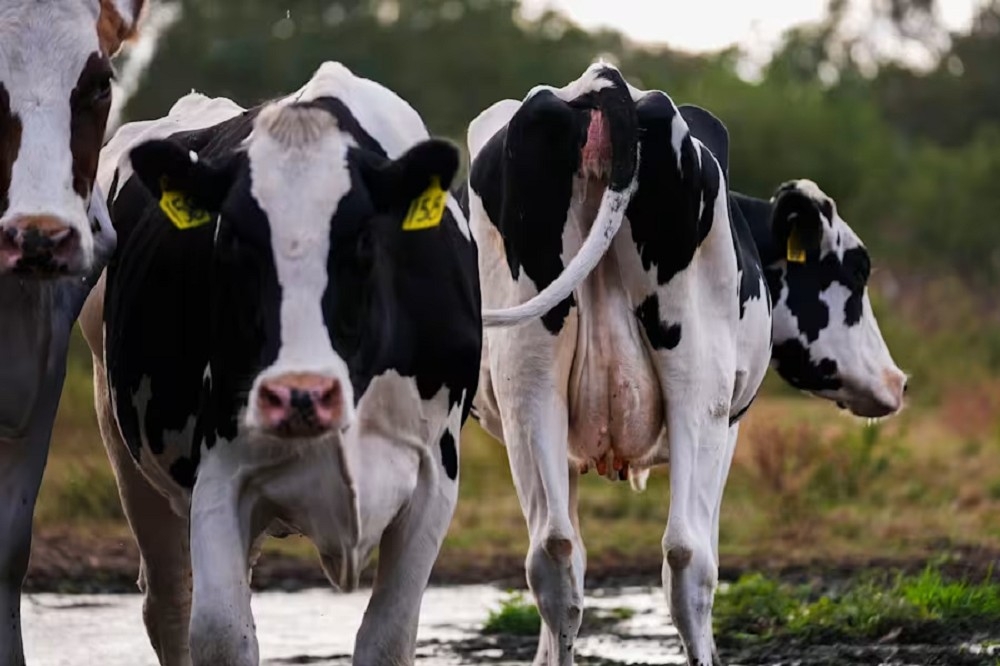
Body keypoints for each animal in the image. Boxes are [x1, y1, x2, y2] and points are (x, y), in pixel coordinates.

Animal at [460, 59, 908, 660]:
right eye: (857, 270)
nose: (897, 381)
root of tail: (602, 82)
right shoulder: (729, 424)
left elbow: (568, 555)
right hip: (698, 388)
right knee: (687, 555)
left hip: (529, 387)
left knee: (552, 554)